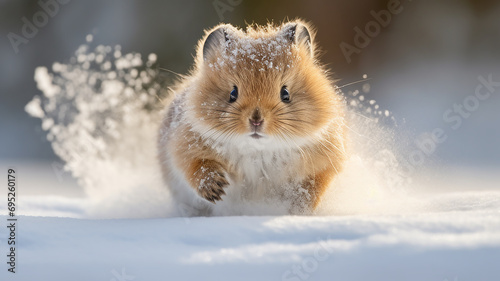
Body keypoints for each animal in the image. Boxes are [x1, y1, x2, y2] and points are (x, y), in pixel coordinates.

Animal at [158, 20, 346, 214]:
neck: (258, 151)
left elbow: (312, 187)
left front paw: (297, 209)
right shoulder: (184, 149)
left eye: (285, 93)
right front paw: (216, 189)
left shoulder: (325, 164)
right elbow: (198, 167)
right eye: (233, 93)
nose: (256, 120)